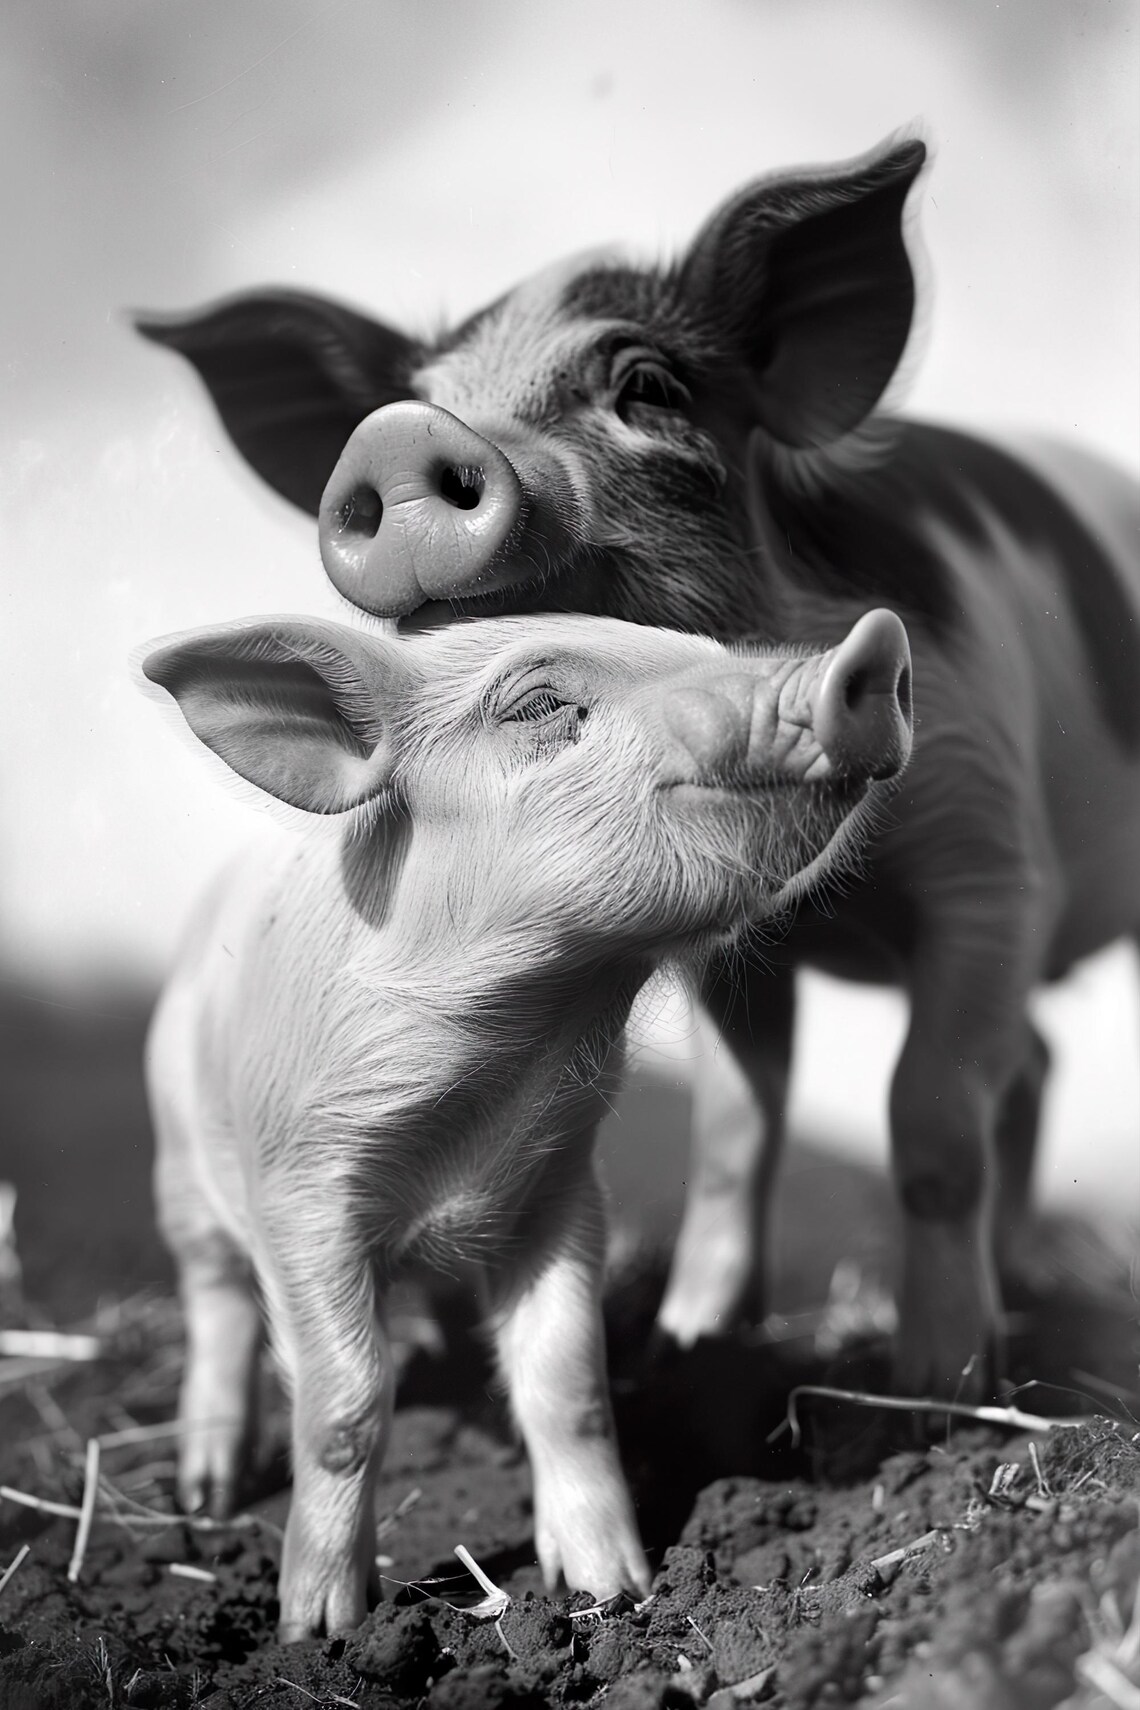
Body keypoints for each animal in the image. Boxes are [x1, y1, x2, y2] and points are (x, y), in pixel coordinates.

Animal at [135, 134, 1140, 1401]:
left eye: (651, 389)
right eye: (411, 403)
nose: (397, 434)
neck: (843, 904)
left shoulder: (992, 858)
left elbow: (932, 1121)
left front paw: (935, 1391)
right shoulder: (743, 949)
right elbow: (732, 1137)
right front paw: (693, 1344)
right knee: (1039, 1062)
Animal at [140, 607, 913, 1639]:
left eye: (700, 646)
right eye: (540, 704)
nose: (874, 641)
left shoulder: (561, 1191)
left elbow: (568, 1385)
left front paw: (614, 1592)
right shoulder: (300, 1194)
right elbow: (345, 1405)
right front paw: (320, 1629)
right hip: (180, 1164)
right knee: (217, 1301)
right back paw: (207, 1494)